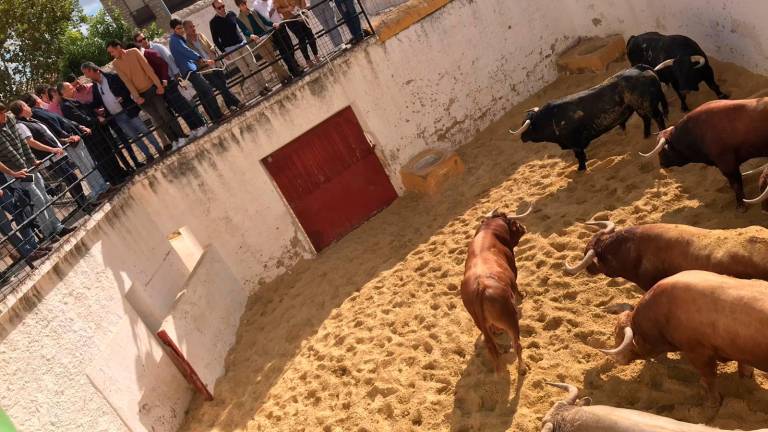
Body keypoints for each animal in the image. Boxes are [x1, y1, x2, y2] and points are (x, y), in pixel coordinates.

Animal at [460, 205, 532, 374]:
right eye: (513, 223)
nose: (523, 227)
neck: (490, 231)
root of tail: (481, 286)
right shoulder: (514, 269)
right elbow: (516, 285)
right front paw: (521, 295)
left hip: (480, 322)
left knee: (492, 344)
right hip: (511, 320)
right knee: (517, 344)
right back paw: (522, 368)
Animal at [510, 66, 664, 170]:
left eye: (527, 127)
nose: (522, 137)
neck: (550, 119)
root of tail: (640, 68)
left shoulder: (575, 144)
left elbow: (579, 156)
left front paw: (581, 169)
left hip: (646, 106)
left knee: (658, 117)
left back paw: (661, 132)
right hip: (640, 108)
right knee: (646, 119)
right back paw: (646, 136)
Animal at [600, 270, 768, 404]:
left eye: (619, 336)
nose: (616, 359)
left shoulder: (698, 352)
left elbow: (710, 377)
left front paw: (712, 402)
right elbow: (744, 369)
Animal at [640, 96, 768, 211]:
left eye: (662, 151)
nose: (661, 164)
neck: (695, 132)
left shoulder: (726, 164)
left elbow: (736, 183)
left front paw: (741, 205)